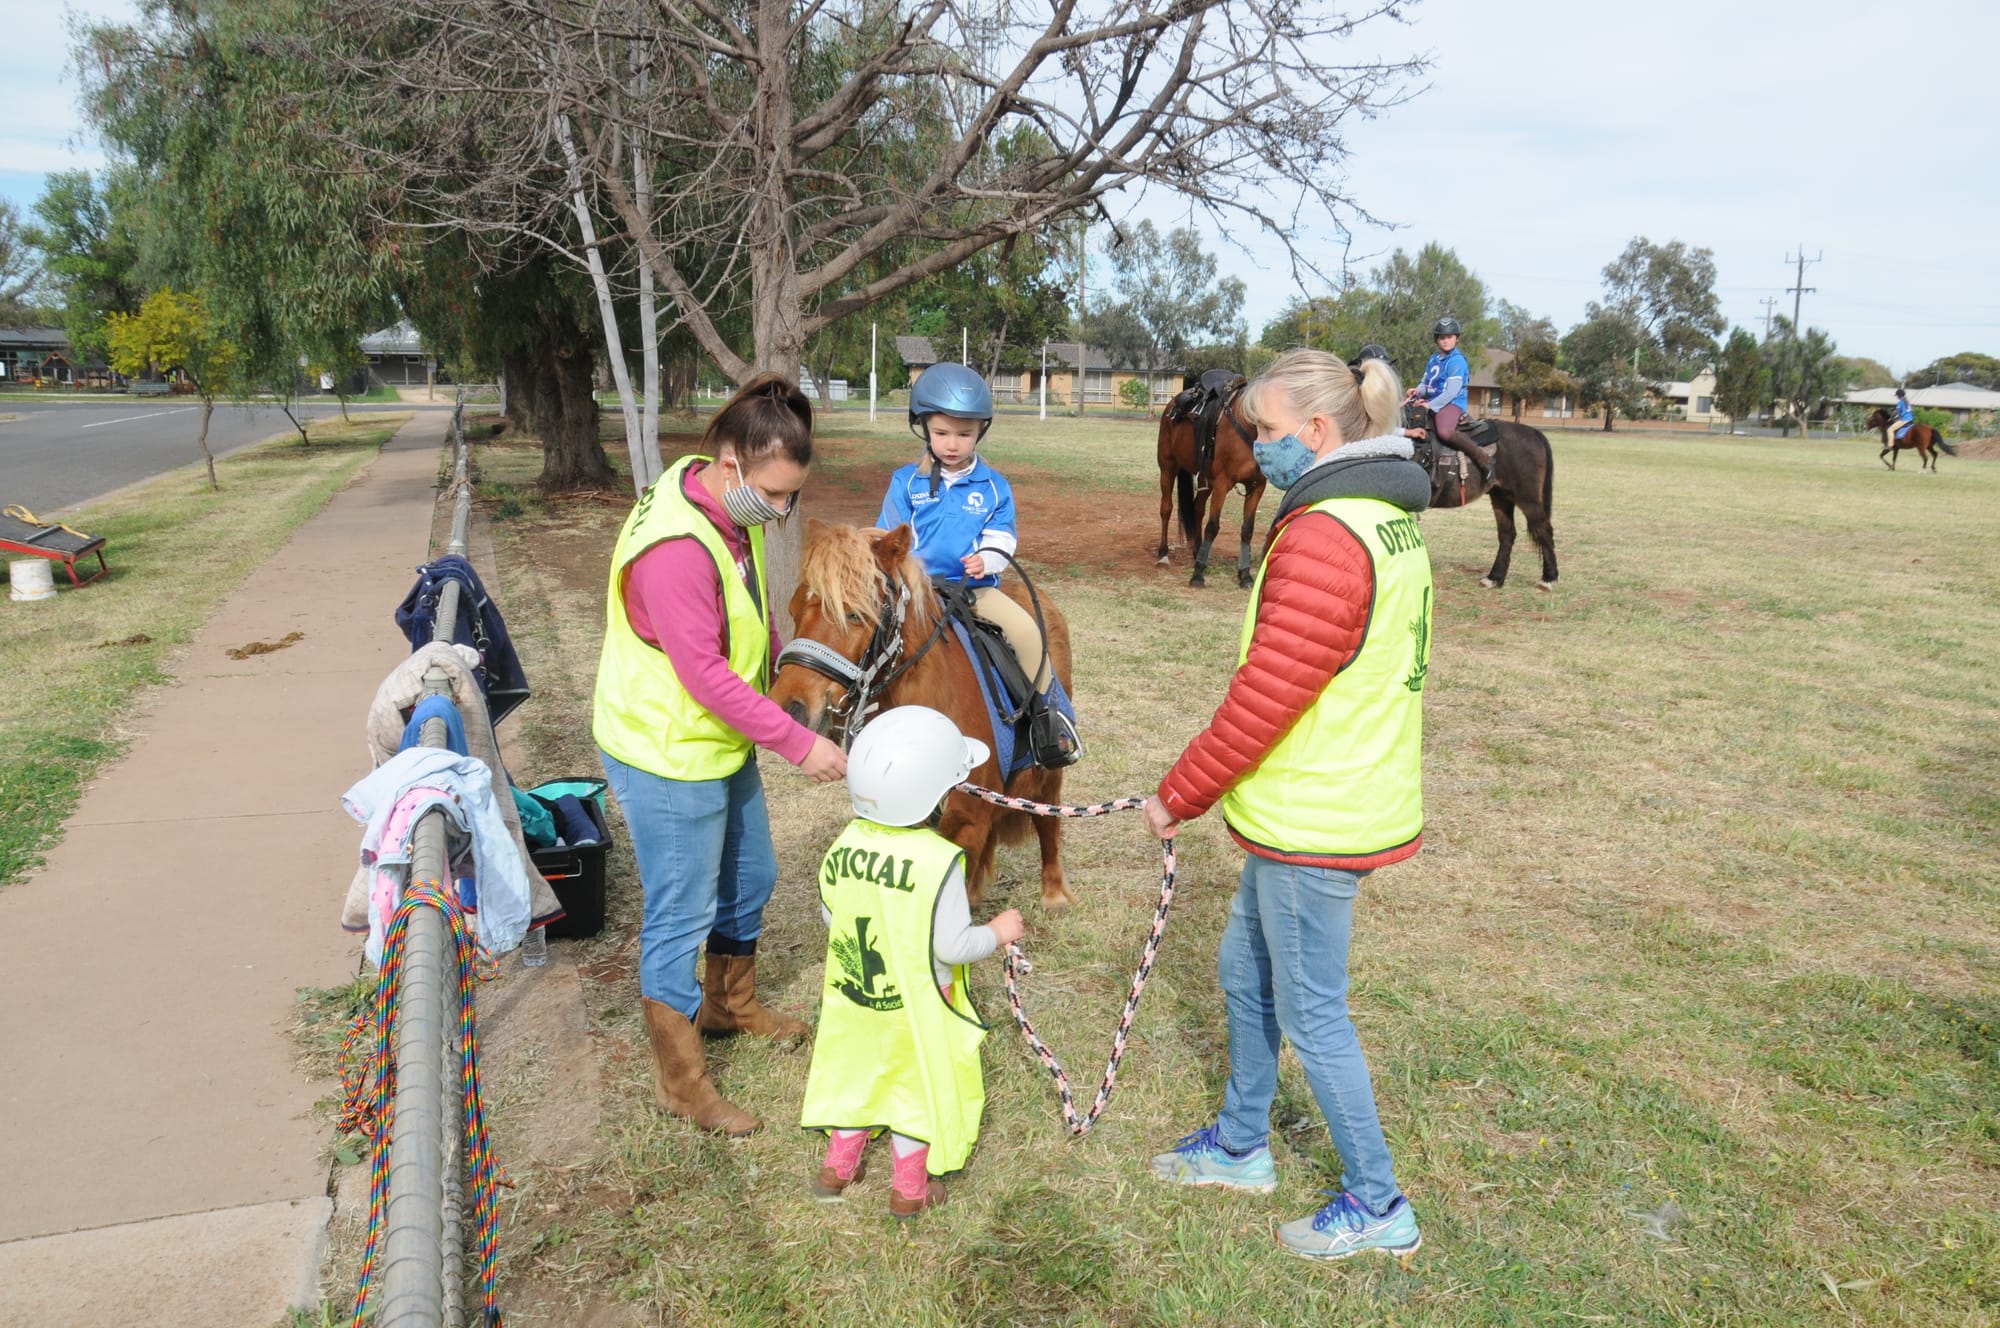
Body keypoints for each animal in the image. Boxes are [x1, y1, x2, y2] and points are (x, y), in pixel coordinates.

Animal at [770, 520, 1078, 909]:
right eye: (794, 610)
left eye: (854, 614)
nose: (788, 707)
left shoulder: (966, 819)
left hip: (1050, 766)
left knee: (1048, 813)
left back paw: (1054, 893)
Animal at [1155, 378, 1267, 588]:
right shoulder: (1223, 483)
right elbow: (1212, 526)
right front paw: (1198, 575)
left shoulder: (1257, 486)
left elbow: (1247, 530)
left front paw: (1245, 575)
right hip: (1168, 468)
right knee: (1166, 508)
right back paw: (1163, 554)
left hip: (1205, 479)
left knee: (1197, 508)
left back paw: (1198, 552)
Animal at [1407, 405, 1559, 591]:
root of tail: (1532, 432)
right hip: (1501, 497)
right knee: (1507, 534)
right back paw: (1494, 578)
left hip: (1528, 499)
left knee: (1543, 530)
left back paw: (1548, 579)